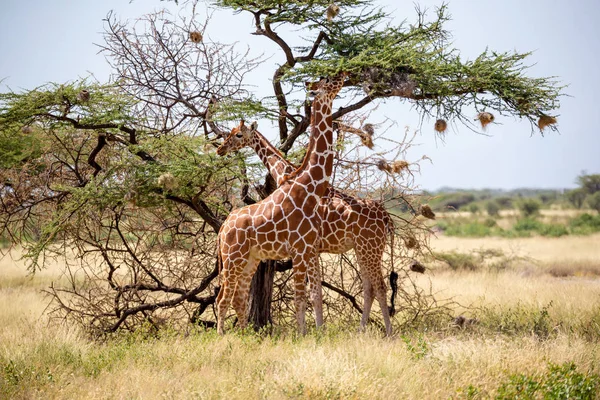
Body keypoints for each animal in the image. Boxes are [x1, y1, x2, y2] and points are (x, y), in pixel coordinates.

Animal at [216, 72, 346, 334]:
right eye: (328, 81)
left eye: (237, 134)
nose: (345, 74)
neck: (310, 187)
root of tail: (223, 228)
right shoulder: (300, 250)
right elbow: (301, 297)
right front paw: (303, 335)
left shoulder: (309, 250)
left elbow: (312, 295)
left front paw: (314, 332)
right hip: (234, 259)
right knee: (223, 298)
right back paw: (222, 335)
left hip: (248, 260)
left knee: (236, 297)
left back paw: (242, 334)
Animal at [218, 120, 396, 336]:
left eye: (238, 135)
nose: (220, 149)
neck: (286, 174)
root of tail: (386, 216)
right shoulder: (314, 250)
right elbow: (316, 293)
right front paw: (319, 330)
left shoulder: (308, 248)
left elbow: (313, 292)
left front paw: (314, 330)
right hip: (364, 249)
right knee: (369, 288)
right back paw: (361, 330)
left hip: (370, 248)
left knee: (380, 287)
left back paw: (388, 333)